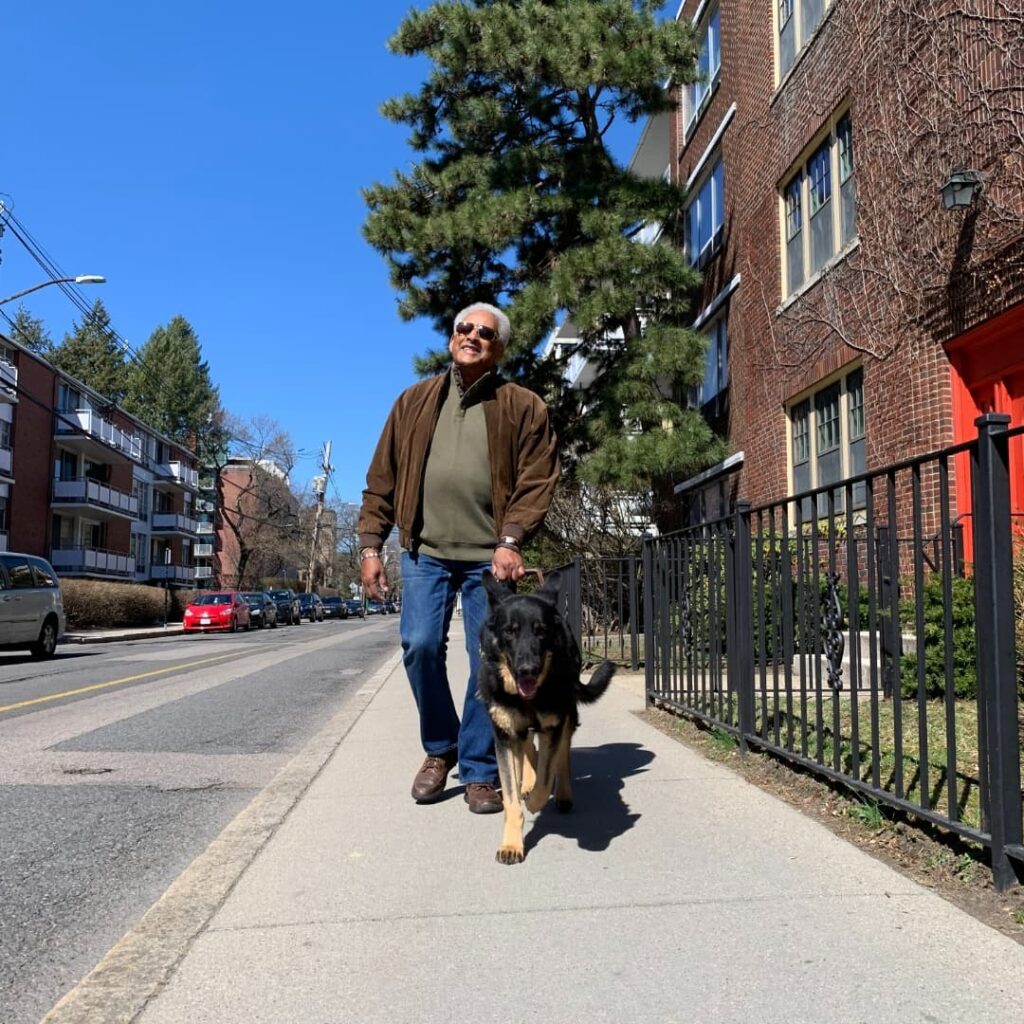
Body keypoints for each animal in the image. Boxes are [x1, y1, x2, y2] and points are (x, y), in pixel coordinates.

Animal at [475, 573, 610, 860]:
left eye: (541, 631)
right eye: (510, 631)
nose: (528, 670)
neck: (525, 697)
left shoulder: (553, 725)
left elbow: (546, 777)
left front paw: (536, 801)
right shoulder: (505, 734)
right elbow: (511, 797)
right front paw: (511, 844)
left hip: (567, 715)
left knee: (561, 756)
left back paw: (562, 794)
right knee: (527, 747)